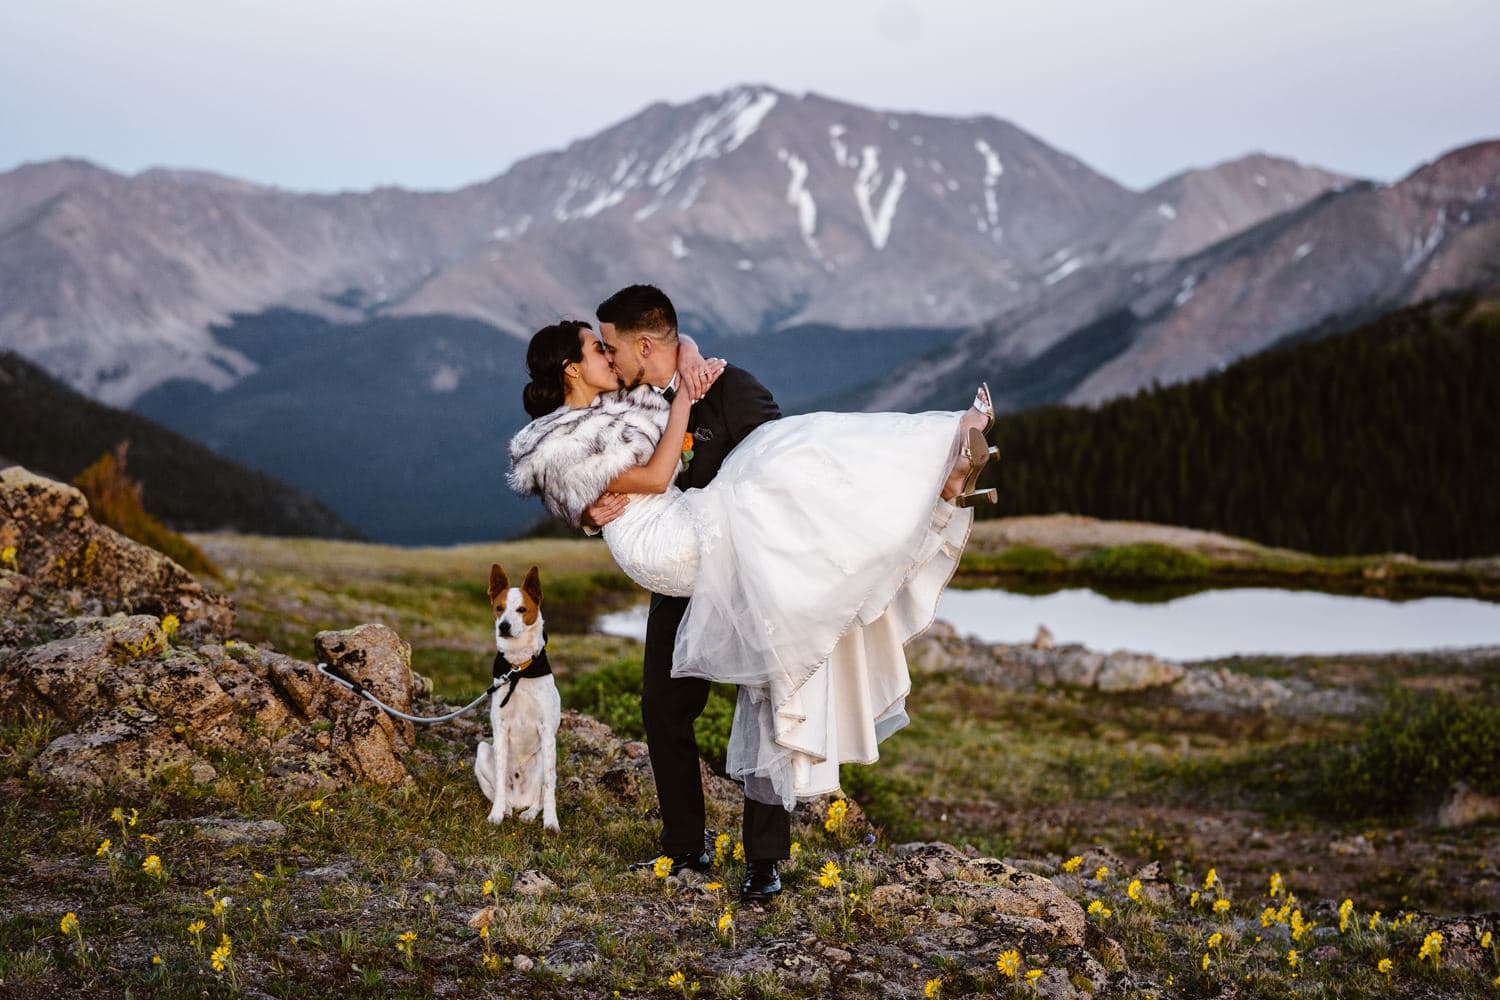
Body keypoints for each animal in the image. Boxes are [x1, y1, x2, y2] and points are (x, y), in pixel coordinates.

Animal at [471, 563, 561, 827]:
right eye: (498, 608)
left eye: (522, 609)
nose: (504, 626)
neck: (519, 669)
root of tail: (521, 797)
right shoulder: (500, 729)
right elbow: (500, 780)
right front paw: (496, 815)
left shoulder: (547, 731)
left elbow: (549, 787)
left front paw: (551, 822)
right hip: (482, 751)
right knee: (498, 791)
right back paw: (507, 809)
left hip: (546, 754)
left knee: (541, 794)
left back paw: (530, 813)